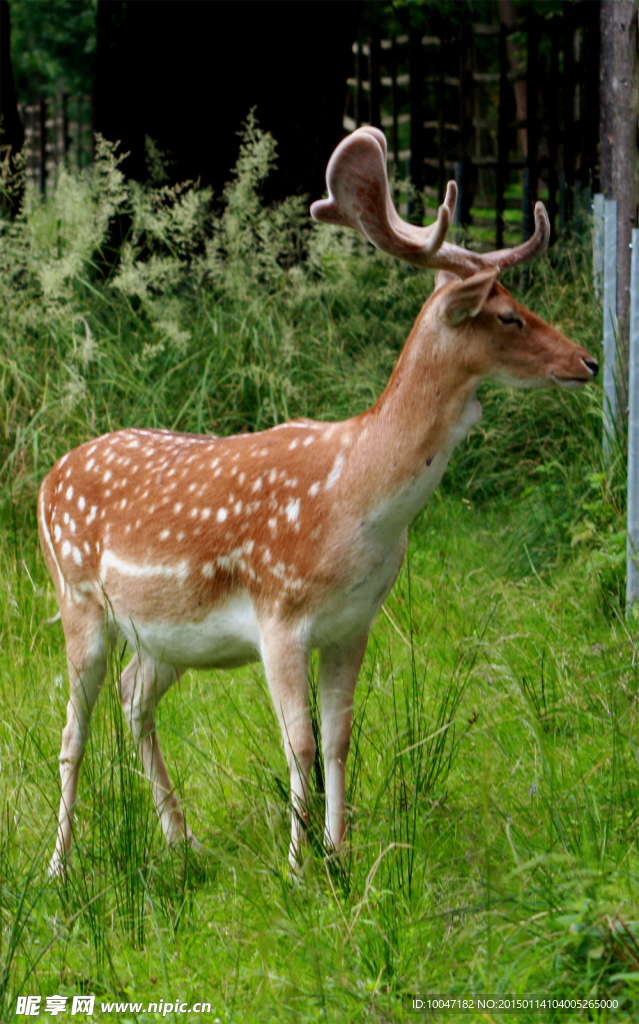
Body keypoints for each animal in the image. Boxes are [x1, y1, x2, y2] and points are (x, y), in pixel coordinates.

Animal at [38, 125, 598, 880]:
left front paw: (340, 853)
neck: (355, 502)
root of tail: (49, 476)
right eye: (508, 315)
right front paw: (297, 867)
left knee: (132, 697)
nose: (586, 362)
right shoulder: (279, 614)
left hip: (163, 636)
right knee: (73, 728)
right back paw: (59, 865)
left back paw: (182, 841)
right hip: (76, 597)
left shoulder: (353, 621)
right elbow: (297, 743)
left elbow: (338, 737)